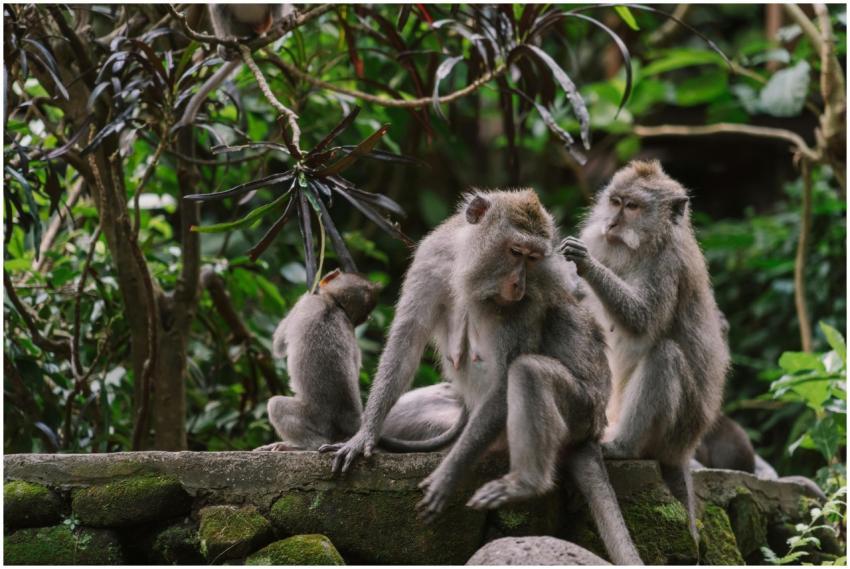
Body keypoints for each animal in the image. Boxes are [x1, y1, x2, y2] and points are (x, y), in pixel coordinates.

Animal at [255, 269, 467, 452]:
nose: (370, 317)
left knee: (276, 405)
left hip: (315, 420)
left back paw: (302, 446)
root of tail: (351, 422)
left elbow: (278, 345)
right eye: (365, 316)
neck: (334, 304)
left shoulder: (306, 302)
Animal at [320, 190, 643, 565]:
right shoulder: (433, 259)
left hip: (582, 411)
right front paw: (364, 436)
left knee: (528, 373)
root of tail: (594, 431)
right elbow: (406, 342)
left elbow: (505, 379)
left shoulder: (524, 302)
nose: (518, 284)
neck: (466, 265)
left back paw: (525, 482)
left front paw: (448, 475)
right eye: (515, 251)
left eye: (533, 258)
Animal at [559, 160, 730, 547]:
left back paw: (623, 446)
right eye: (615, 201)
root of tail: (685, 450)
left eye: (633, 207)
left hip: (676, 431)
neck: (643, 246)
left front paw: (587, 265)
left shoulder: (667, 266)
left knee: (665, 355)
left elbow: (642, 321)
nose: (611, 224)